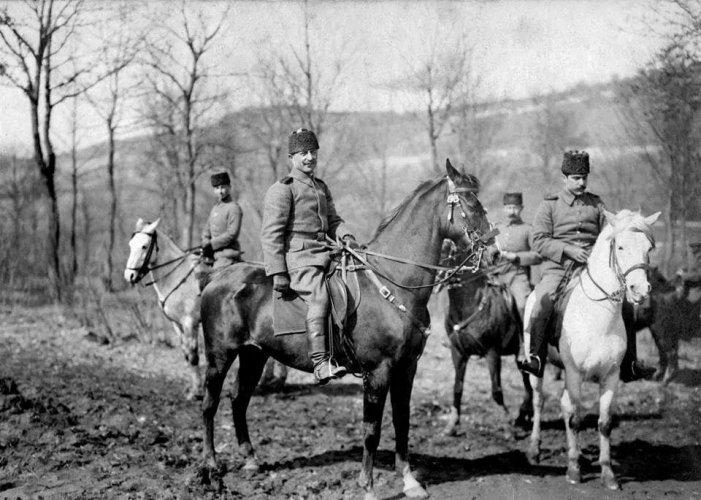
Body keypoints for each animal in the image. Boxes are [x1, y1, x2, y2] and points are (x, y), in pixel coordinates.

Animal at [198, 161, 492, 500]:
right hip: (220, 356)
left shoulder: (407, 369)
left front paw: (409, 481)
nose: (496, 252)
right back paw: (211, 466)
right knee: (210, 404)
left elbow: (402, 422)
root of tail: (218, 278)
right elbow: (371, 430)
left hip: (253, 355)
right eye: (471, 203)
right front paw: (367, 486)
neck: (392, 283)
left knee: (238, 399)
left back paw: (250, 459)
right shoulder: (377, 372)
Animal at [528, 209, 660, 490]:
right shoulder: (574, 374)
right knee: (539, 401)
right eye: (620, 247)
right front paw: (574, 470)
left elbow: (604, 423)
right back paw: (535, 449)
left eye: (649, 248)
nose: (640, 290)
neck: (598, 316)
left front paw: (608, 473)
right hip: (537, 370)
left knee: (564, 405)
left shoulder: (611, 377)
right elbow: (575, 419)